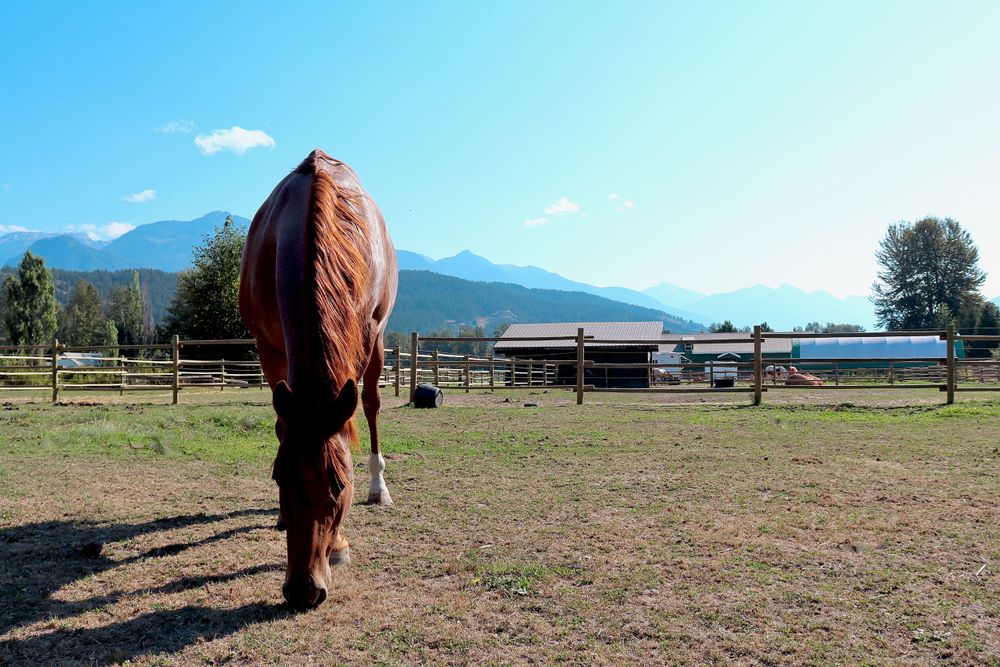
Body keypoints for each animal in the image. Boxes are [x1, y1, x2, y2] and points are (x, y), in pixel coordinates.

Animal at [239, 149, 397, 609]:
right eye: (279, 477)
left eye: (340, 484)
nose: (302, 591)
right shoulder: (269, 347)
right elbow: (281, 426)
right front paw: (281, 515)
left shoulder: (365, 334)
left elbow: (355, 416)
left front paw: (340, 544)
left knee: (371, 406)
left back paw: (379, 486)